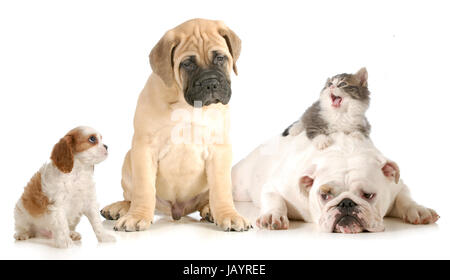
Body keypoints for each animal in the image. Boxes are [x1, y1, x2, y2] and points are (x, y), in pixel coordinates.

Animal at [100, 19, 251, 232]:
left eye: (220, 58)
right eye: (187, 64)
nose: (211, 83)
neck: (186, 105)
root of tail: (178, 211)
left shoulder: (219, 150)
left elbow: (221, 189)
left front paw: (228, 215)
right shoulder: (144, 148)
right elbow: (144, 188)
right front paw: (137, 216)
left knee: (207, 199)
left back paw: (210, 210)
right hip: (129, 160)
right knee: (132, 197)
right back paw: (120, 208)